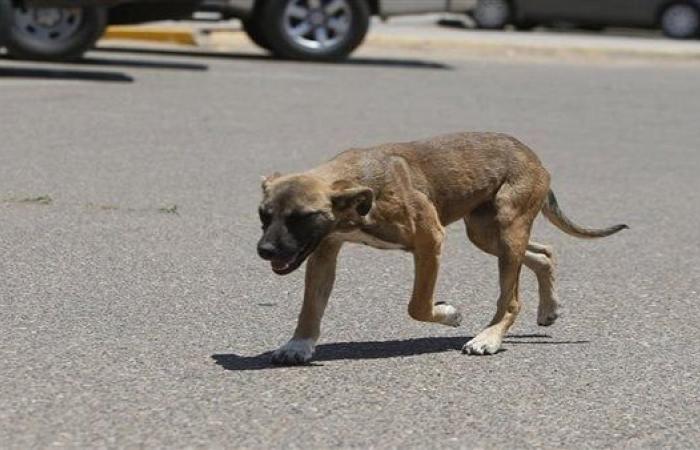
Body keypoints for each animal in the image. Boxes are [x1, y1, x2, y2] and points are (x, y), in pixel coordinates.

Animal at [254, 132, 628, 364]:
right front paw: (299, 344)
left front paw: (448, 314)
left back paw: (489, 337)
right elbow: (310, 307)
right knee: (543, 254)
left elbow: (418, 306)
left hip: (509, 229)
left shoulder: (429, 241)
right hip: (486, 233)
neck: (360, 193)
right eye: (263, 214)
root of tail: (534, 158)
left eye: (301, 217)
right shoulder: (323, 251)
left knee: (511, 299)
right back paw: (548, 308)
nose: (264, 250)